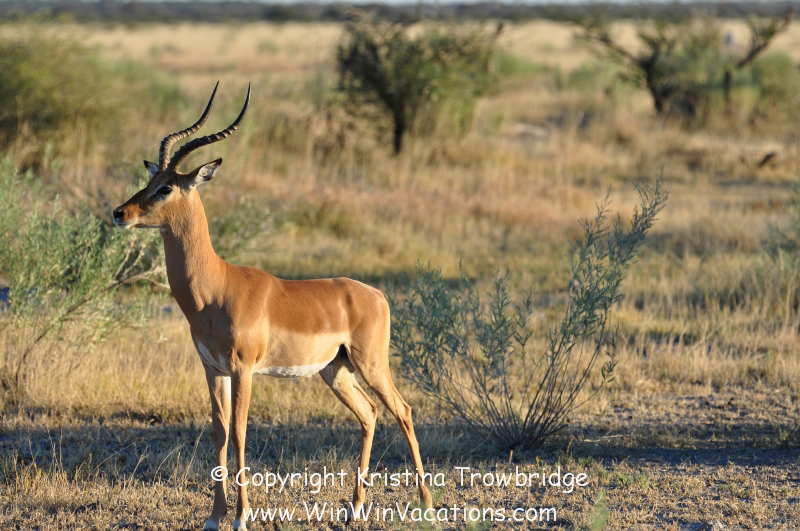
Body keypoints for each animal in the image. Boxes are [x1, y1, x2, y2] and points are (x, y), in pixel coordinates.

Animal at [112, 83, 432, 530]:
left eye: (167, 187)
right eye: (151, 179)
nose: (119, 212)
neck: (216, 288)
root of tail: (378, 295)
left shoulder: (243, 368)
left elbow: (241, 432)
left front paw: (241, 517)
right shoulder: (212, 368)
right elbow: (219, 433)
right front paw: (214, 517)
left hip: (371, 364)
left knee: (402, 409)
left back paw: (426, 504)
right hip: (336, 371)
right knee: (369, 414)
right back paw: (354, 508)